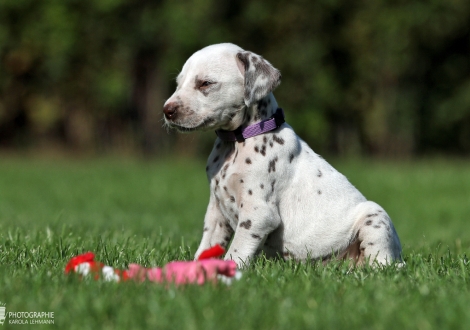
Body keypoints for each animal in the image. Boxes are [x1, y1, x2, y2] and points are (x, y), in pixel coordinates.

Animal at [163, 42, 402, 268]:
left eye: (205, 83)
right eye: (178, 84)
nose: (167, 110)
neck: (236, 143)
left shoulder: (258, 213)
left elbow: (236, 250)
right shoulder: (216, 211)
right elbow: (207, 245)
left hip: (375, 218)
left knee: (382, 264)